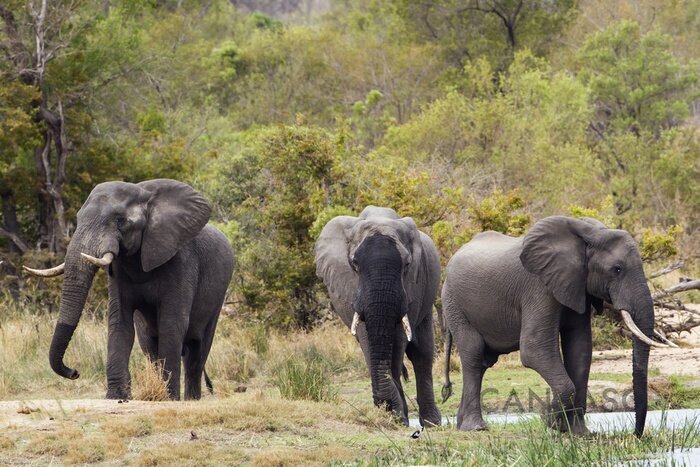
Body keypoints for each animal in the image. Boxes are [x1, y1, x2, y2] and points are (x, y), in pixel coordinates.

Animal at [23, 181, 235, 400]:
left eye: (120, 221)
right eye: (78, 218)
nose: (74, 372)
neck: (144, 193)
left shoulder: (181, 261)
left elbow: (171, 323)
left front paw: (169, 397)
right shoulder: (118, 271)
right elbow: (120, 322)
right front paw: (117, 396)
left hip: (219, 295)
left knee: (197, 352)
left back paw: (191, 399)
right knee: (150, 345)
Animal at [314, 207, 440, 426]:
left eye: (407, 264)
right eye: (354, 263)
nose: (386, 407)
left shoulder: (412, 288)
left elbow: (398, 343)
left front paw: (397, 416)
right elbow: (366, 338)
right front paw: (395, 415)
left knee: (422, 353)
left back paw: (432, 423)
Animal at [440, 218, 664, 436]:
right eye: (617, 269)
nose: (636, 434)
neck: (589, 233)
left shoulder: (577, 285)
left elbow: (580, 350)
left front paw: (580, 433)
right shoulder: (539, 287)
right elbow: (534, 349)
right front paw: (550, 420)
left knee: (483, 362)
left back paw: (462, 425)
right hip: (454, 303)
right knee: (473, 354)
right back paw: (475, 427)